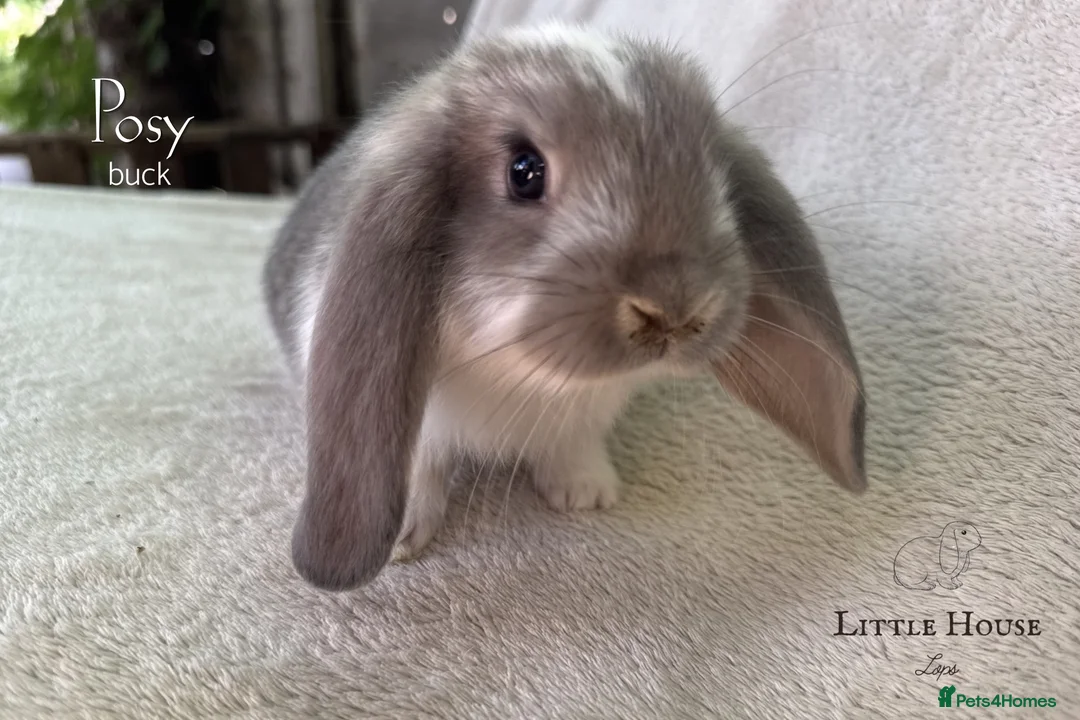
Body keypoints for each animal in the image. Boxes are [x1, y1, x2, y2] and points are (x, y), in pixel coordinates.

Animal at [262, 23, 868, 591]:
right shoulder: (418, 425)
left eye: (716, 173)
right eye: (525, 171)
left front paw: (586, 493)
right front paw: (403, 541)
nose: (674, 308)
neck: (522, 373)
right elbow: (419, 468)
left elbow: (571, 446)